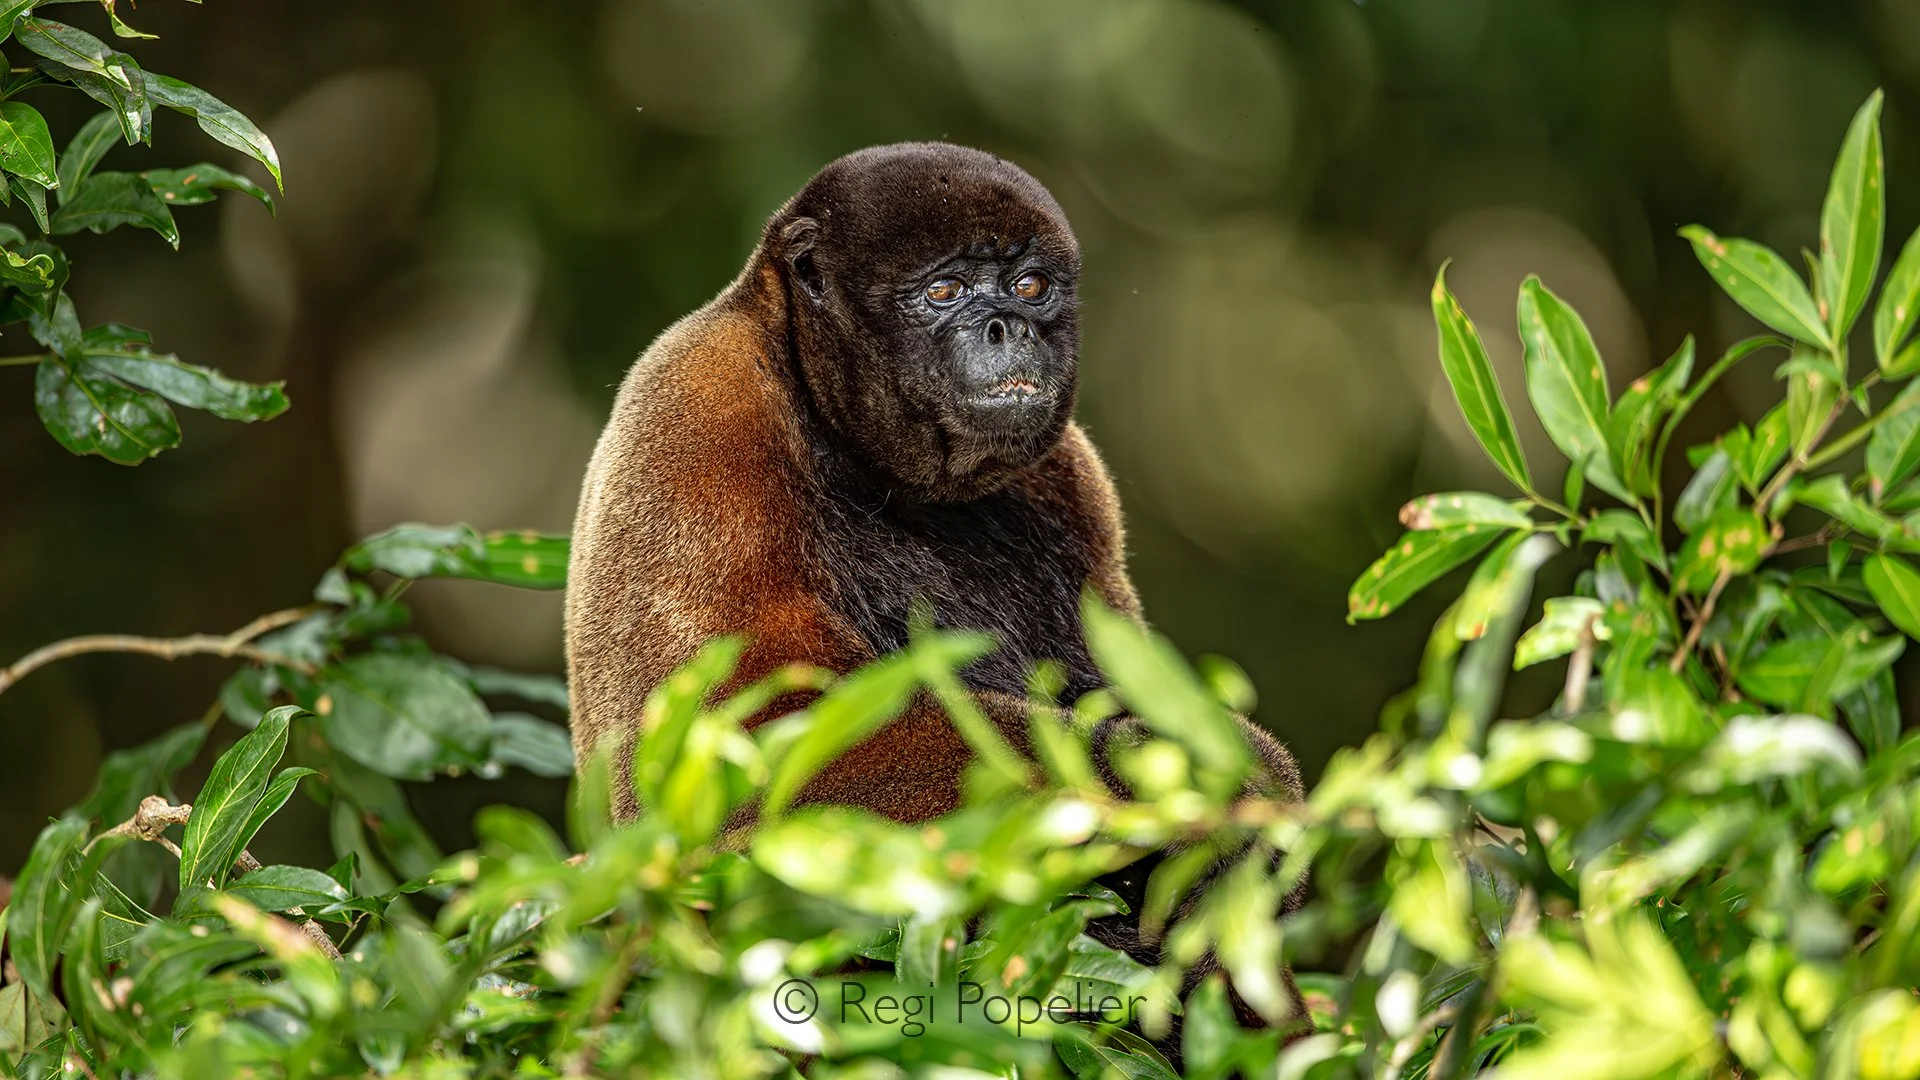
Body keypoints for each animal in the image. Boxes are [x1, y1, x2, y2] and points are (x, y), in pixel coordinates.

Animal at [564, 142, 1307, 1045]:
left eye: (1031, 286)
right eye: (944, 292)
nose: (1009, 326)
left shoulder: (1076, 475)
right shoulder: (699, 414)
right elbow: (746, 757)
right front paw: (1201, 777)